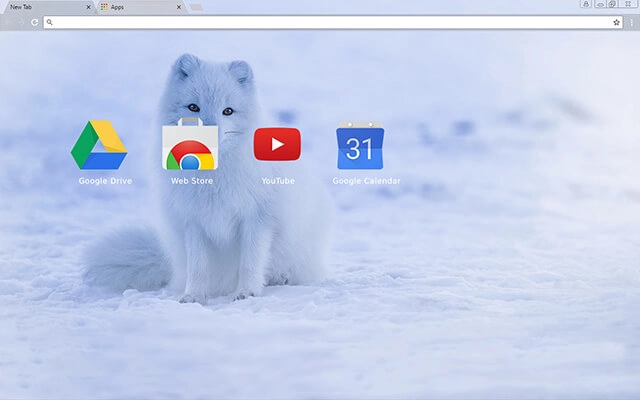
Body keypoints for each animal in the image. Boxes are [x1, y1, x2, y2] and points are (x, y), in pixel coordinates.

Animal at [83, 54, 333, 303]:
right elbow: (198, 267)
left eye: (228, 111)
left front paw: (247, 292)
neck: (212, 176)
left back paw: (280, 277)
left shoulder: (258, 219)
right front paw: (193, 296)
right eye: (193, 107)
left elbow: (250, 262)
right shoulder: (193, 221)